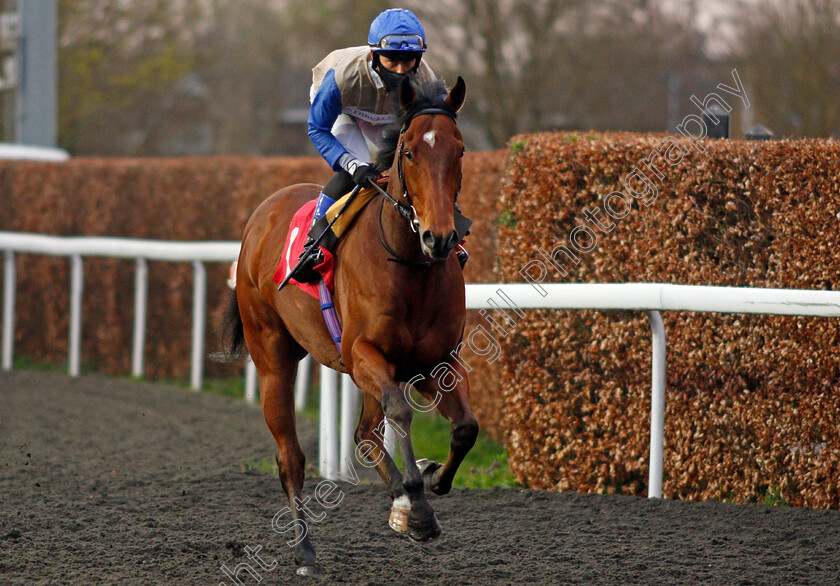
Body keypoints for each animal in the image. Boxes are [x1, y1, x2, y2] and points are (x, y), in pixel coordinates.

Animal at [223, 75, 480, 572]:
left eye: (459, 151)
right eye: (410, 152)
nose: (439, 238)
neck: (409, 265)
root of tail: (262, 213)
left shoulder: (434, 362)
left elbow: (465, 428)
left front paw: (431, 479)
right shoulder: (363, 354)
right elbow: (400, 413)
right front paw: (418, 507)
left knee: (363, 434)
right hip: (272, 356)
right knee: (291, 456)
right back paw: (305, 550)